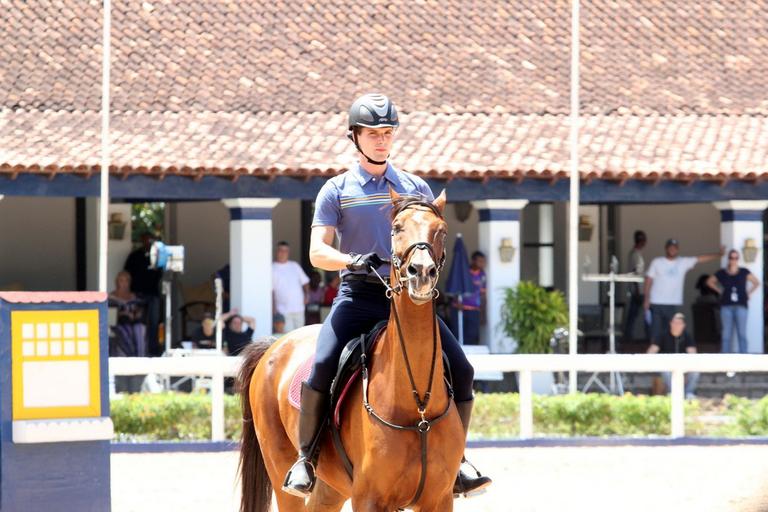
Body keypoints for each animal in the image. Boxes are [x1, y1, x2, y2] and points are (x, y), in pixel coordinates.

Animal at [238, 189, 462, 512]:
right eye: (396, 228)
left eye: (441, 230)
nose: (421, 272)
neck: (417, 407)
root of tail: (275, 346)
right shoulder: (369, 499)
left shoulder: (439, 499)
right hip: (279, 466)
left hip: (331, 487)